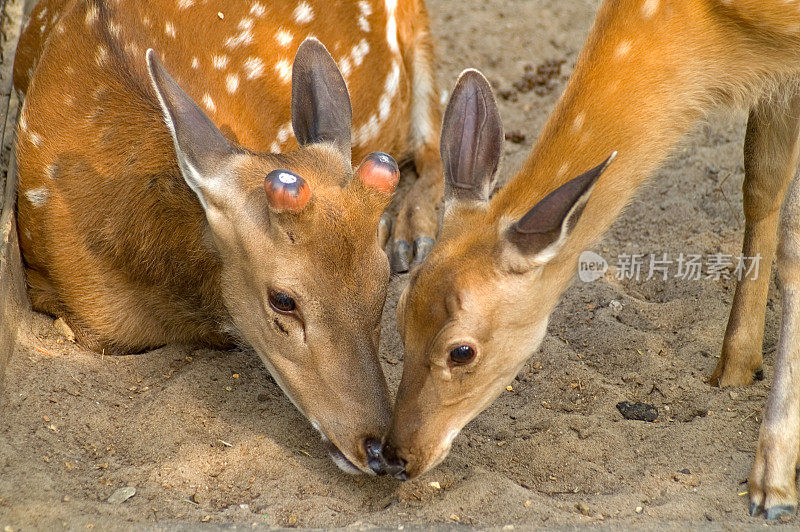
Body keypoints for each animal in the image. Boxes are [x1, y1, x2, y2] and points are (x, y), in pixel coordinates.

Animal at [386, 0, 800, 520]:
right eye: (400, 311)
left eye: (462, 351)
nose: (395, 456)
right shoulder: (778, 75)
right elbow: (762, 181)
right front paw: (735, 368)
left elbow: (793, 243)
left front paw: (772, 484)